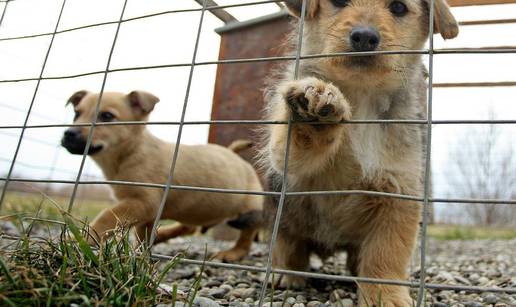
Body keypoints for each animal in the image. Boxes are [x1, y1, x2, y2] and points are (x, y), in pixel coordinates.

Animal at [62, 91, 264, 262]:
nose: (68, 134)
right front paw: (139, 256)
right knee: (189, 227)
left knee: (248, 232)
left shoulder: (144, 202)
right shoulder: (145, 211)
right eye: (76, 113)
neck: (131, 152)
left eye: (107, 116)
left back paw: (234, 253)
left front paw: (80, 239)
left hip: (249, 207)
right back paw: (162, 235)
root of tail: (235, 155)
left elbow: (107, 216)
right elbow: (141, 236)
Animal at [264, 0, 458, 306]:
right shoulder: (293, 170)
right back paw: (286, 274)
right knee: (287, 245)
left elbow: (387, 253)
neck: (362, 97)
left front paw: (384, 294)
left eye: (399, 7)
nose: (364, 37)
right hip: (282, 213)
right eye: (338, 2)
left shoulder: (399, 193)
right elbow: (295, 149)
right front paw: (314, 108)